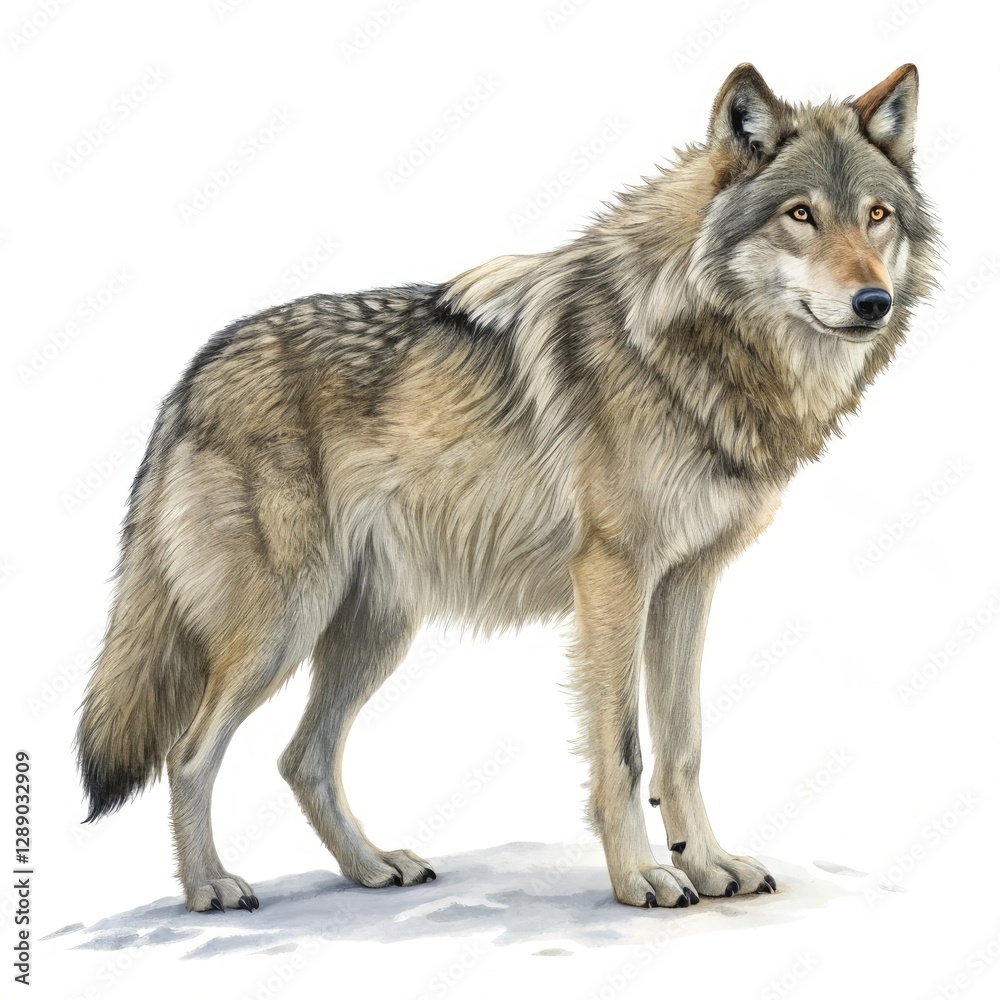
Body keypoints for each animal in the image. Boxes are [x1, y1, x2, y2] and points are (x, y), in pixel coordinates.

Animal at [77, 63, 937, 912]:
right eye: (800, 215)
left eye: (877, 216)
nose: (873, 303)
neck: (689, 344)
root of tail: (193, 375)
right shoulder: (614, 578)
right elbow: (623, 749)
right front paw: (643, 878)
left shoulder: (687, 582)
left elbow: (684, 745)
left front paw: (709, 864)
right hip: (283, 626)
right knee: (190, 752)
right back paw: (209, 887)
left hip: (373, 631)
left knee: (302, 758)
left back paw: (371, 867)